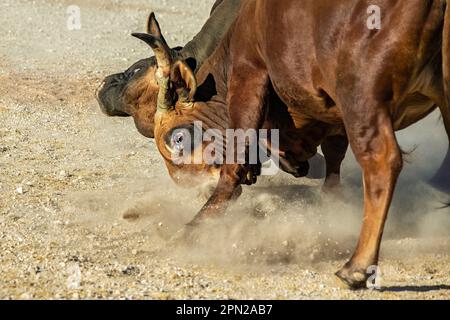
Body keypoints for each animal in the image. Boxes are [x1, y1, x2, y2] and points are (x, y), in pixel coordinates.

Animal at [132, 0, 450, 290]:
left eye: (178, 138)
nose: (194, 187)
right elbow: (334, 158)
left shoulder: (249, 73)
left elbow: (234, 160)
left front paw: (194, 227)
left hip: (361, 94)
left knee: (382, 161)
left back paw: (356, 267)